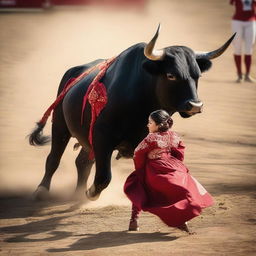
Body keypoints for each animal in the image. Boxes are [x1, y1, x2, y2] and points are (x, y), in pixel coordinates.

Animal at [28, 26, 236, 202]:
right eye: (171, 75)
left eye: (197, 75)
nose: (195, 105)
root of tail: (73, 72)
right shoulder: (102, 138)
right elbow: (103, 177)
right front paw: (91, 193)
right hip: (60, 126)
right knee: (54, 159)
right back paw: (42, 190)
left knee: (82, 163)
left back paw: (78, 195)